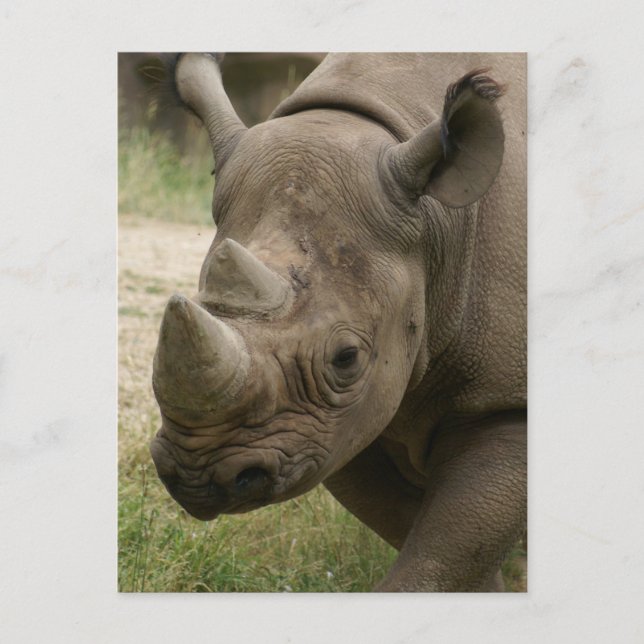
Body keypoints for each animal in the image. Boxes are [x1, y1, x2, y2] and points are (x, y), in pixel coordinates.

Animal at [150, 52, 526, 592]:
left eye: (346, 358)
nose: (202, 477)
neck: (439, 225)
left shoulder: (504, 401)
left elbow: (445, 549)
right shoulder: (342, 423)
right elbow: (428, 540)